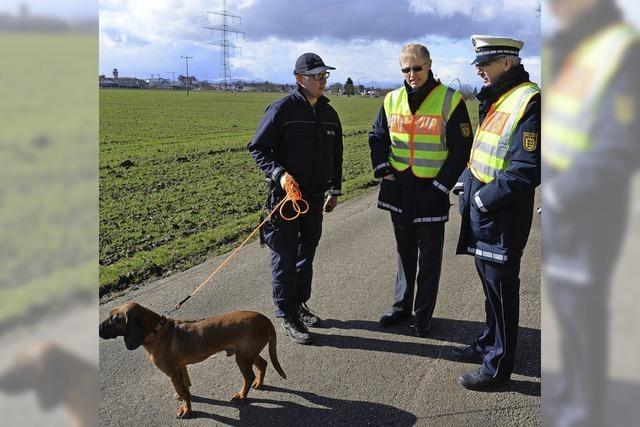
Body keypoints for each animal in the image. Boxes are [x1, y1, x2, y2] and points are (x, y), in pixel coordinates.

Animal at [99, 302, 286, 420]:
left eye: (114, 319)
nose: (98, 329)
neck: (156, 331)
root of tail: (265, 319)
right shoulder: (181, 368)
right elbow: (185, 389)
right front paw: (185, 401)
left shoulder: (173, 373)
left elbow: (183, 392)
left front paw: (186, 410)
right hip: (247, 354)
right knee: (263, 364)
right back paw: (259, 384)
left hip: (243, 358)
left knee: (248, 377)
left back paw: (241, 395)